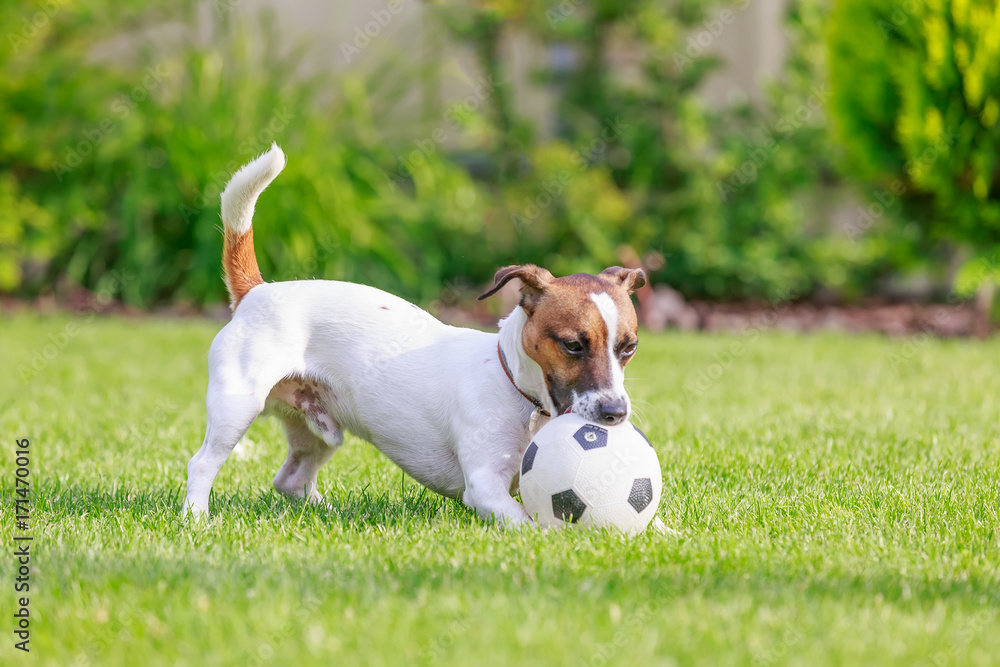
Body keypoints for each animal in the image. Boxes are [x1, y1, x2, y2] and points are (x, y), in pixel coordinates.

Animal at [183, 142, 644, 528]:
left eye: (629, 348)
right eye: (572, 345)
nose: (616, 414)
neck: (515, 386)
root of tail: (257, 290)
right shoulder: (486, 488)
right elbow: (530, 522)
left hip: (320, 429)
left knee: (290, 480)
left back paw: (329, 512)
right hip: (236, 407)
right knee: (202, 464)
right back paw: (197, 519)